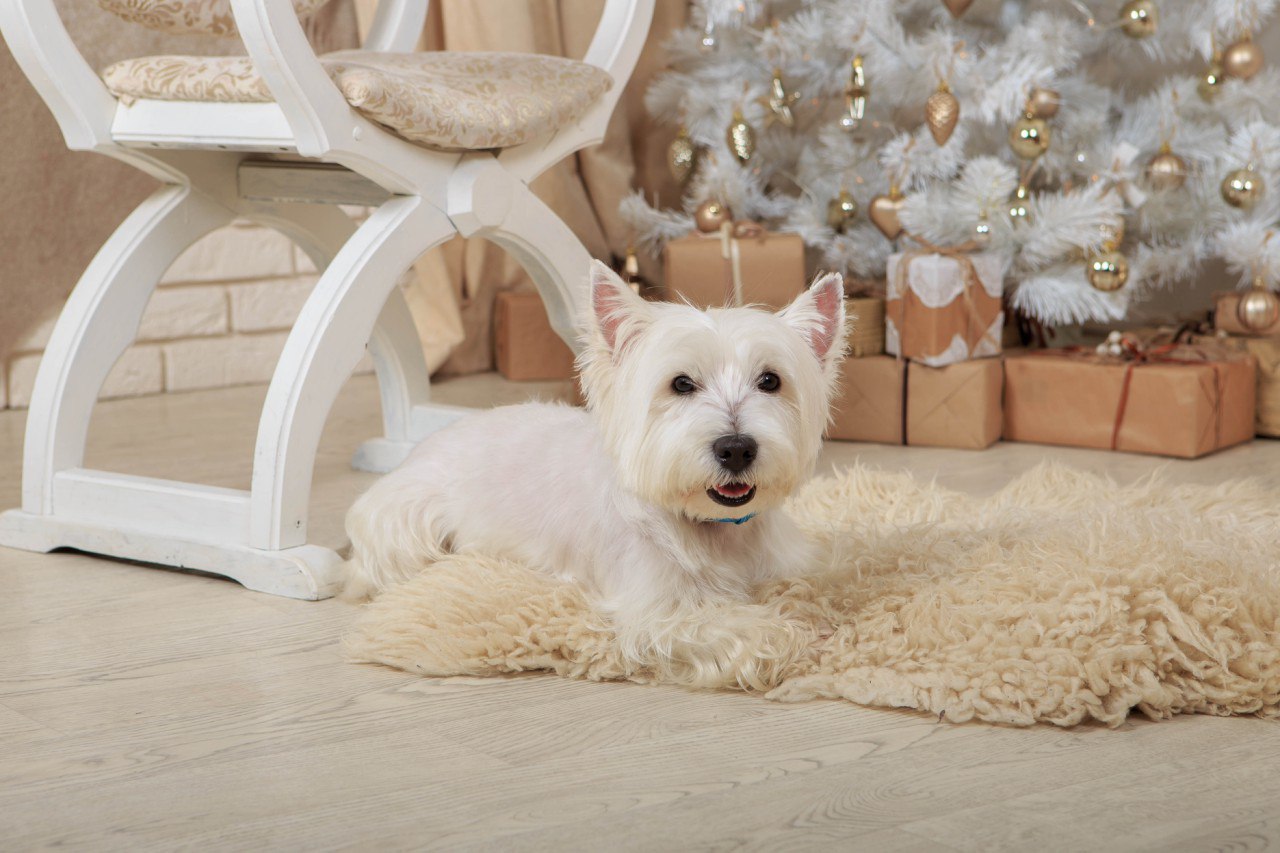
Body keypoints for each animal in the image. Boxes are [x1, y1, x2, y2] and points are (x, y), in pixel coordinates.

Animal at [344, 261, 847, 688]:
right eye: (681, 383)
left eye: (770, 381)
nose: (736, 448)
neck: (714, 529)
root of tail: (421, 445)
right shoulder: (657, 613)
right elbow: (758, 631)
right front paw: (808, 638)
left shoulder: (790, 564)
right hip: (407, 526)